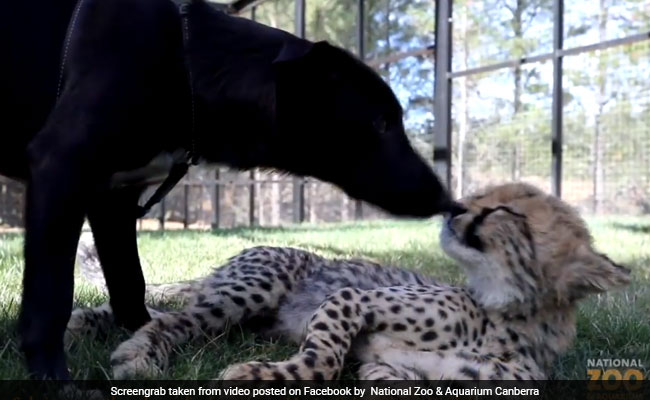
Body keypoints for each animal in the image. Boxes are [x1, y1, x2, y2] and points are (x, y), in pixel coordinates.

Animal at [1, 0, 456, 378]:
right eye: (381, 122)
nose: (446, 199)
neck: (185, 64)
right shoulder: (62, 165)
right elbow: (51, 296)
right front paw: (53, 378)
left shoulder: (114, 199)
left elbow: (131, 284)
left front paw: (140, 335)